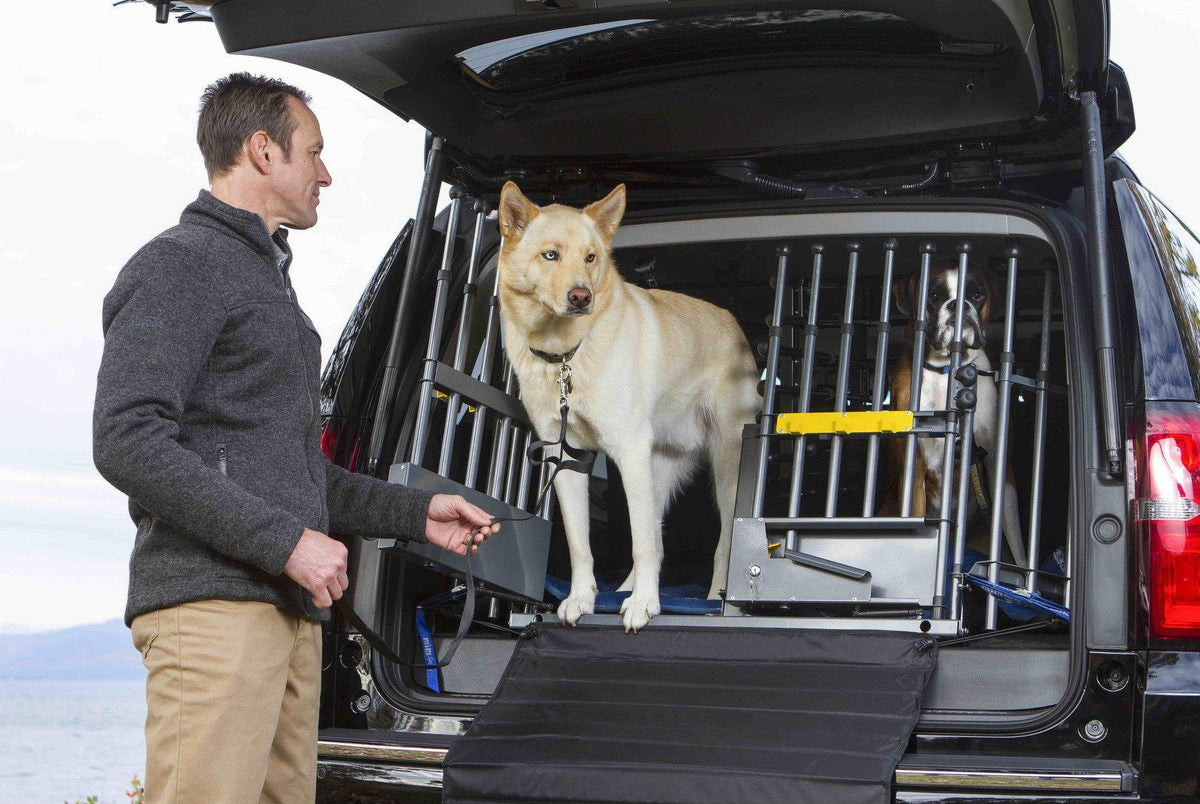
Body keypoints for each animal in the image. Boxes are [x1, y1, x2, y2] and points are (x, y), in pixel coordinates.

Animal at [496, 182, 758, 638]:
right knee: (655, 534)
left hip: (724, 469)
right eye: (551, 255)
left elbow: (641, 544)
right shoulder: (567, 457)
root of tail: (734, 325)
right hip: (656, 469)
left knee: (719, 540)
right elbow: (581, 543)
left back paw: (713, 599)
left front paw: (644, 605)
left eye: (590, 257)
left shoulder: (628, 450)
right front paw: (583, 599)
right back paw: (626, 589)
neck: (565, 355)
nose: (581, 296)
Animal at [888, 260, 1027, 566]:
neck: (947, 371)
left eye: (976, 295)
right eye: (934, 296)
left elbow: (1015, 539)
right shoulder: (913, 470)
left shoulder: (999, 466)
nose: (958, 304)